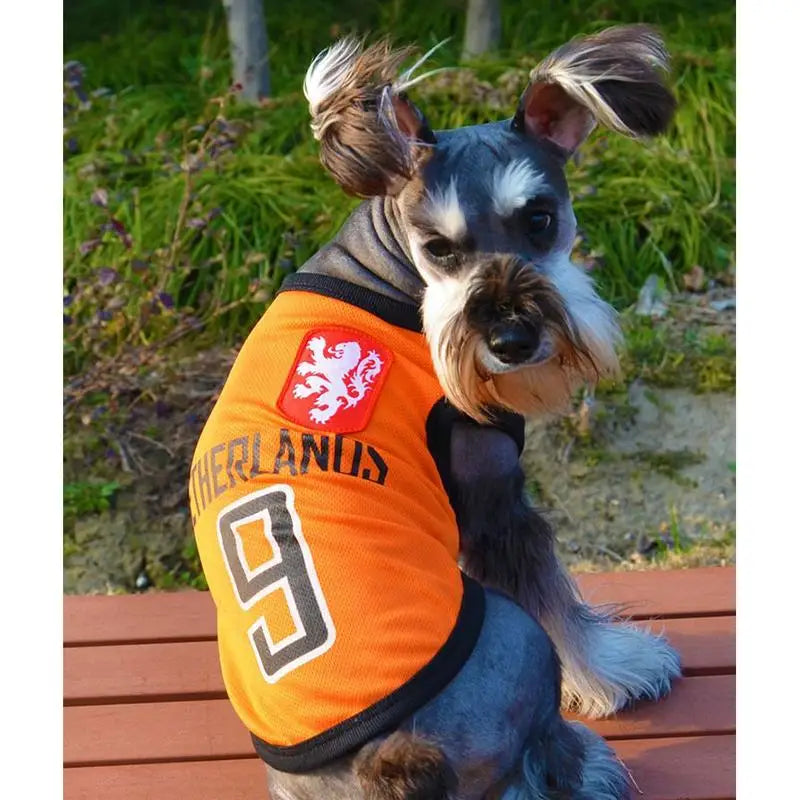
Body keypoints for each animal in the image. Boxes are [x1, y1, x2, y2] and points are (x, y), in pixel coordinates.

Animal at [189, 23, 680, 800]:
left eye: (539, 219)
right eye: (439, 248)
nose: (511, 341)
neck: (384, 266)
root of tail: (392, 758)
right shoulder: (493, 498)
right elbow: (554, 594)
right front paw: (618, 672)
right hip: (515, 638)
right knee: (543, 733)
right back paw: (595, 766)